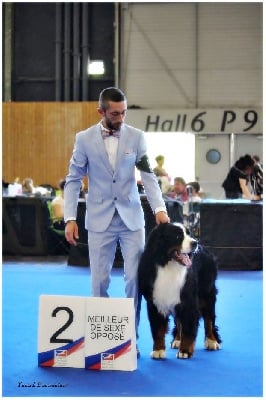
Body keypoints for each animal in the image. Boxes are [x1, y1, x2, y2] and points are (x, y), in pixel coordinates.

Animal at [138, 222, 221, 360]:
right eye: (177, 236)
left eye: (188, 233)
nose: (195, 243)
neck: (169, 266)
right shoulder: (155, 302)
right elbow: (158, 329)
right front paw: (158, 350)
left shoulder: (188, 302)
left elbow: (188, 328)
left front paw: (185, 351)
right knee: (179, 320)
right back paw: (177, 340)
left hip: (206, 294)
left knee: (209, 319)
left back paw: (211, 341)